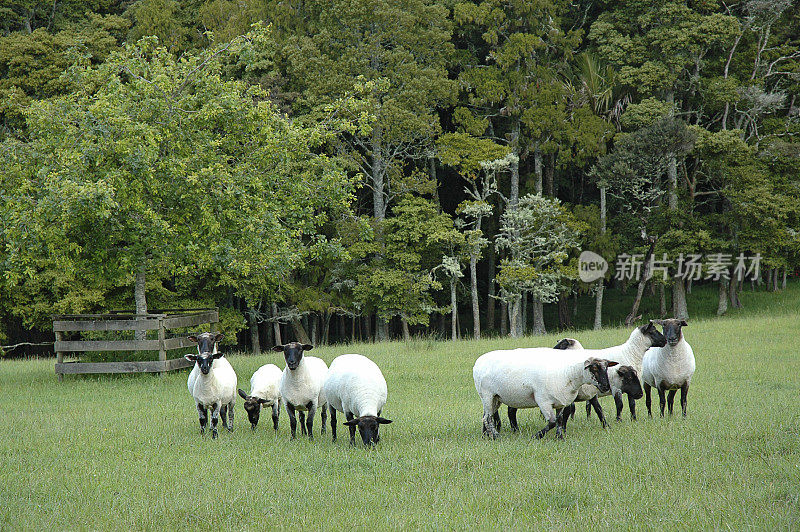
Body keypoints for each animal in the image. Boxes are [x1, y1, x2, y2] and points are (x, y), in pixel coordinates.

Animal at [476, 348, 620, 438]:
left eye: (606, 368)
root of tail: (479, 362)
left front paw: (560, 437)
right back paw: (496, 436)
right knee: (487, 418)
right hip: (487, 394)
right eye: (594, 368)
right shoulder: (543, 401)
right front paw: (536, 436)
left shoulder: (561, 402)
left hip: (495, 398)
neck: (568, 374)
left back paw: (485, 436)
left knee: (485, 416)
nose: (606, 386)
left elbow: (560, 420)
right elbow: (552, 422)